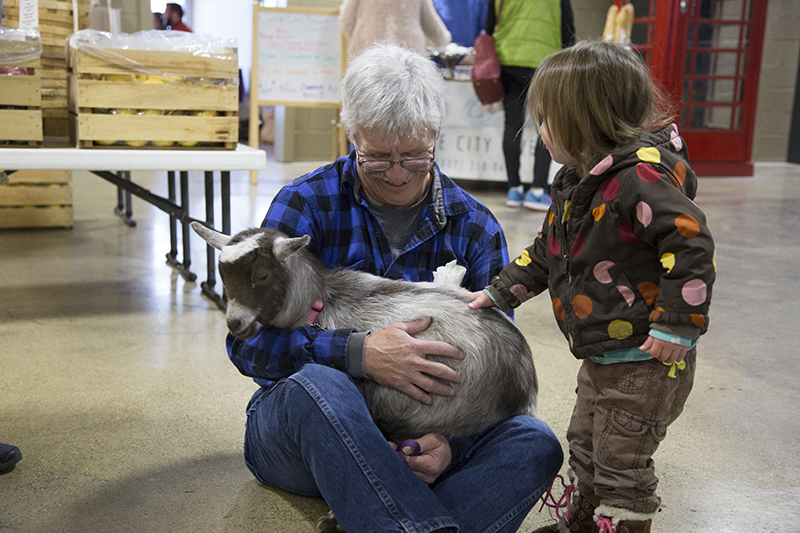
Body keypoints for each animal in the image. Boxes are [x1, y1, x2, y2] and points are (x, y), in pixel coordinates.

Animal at [191, 221, 536, 440]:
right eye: (222, 273)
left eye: (262, 275)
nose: (235, 323)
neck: (319, 301)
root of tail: (525, 386)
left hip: (442, 416)